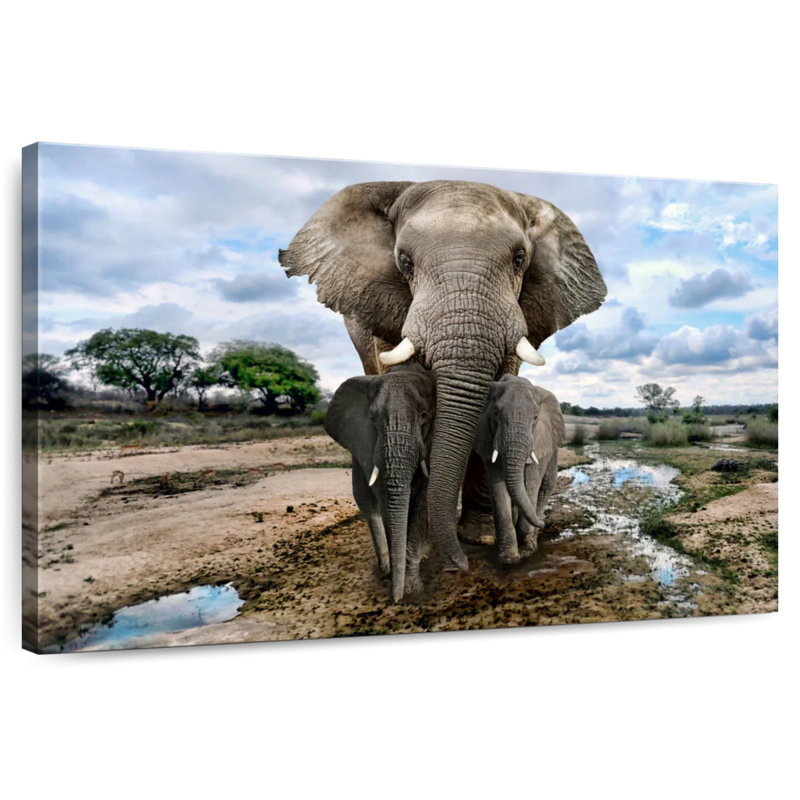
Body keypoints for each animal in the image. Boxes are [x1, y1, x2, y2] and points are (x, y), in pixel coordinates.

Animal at [324, 363, 435, 602]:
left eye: (424, 417)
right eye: (373, 419)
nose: (395, 599)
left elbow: (422, 501)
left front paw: (411, 588)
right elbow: (385, 501)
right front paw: (400, 584)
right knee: (367, 504)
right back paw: (385, 568)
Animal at [474, 375, 566, 563]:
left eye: (536, 417)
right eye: (495, 413)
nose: (544, 523)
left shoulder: (539, 439)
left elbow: (531, 483)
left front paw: (527, 551)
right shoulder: (487, 436)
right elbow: (498, 486)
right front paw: (509, 558)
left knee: (546, 486)